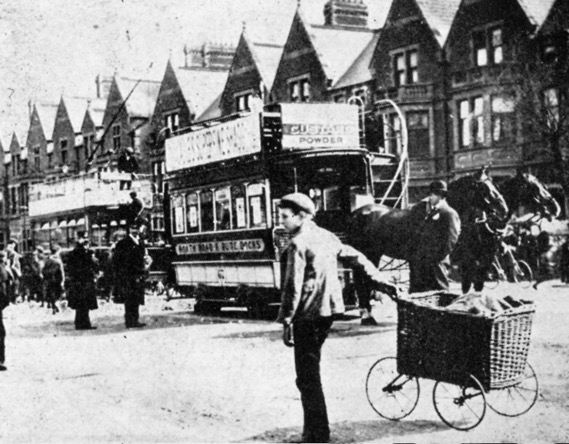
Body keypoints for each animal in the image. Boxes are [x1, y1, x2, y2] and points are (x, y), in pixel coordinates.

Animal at [348, 166, 508, 316]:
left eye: (494, 184)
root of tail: (356, 213)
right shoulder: (463, 262)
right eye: (483, 187)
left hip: (374, 254)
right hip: (368, 253)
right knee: (361, 281)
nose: (503, 210)